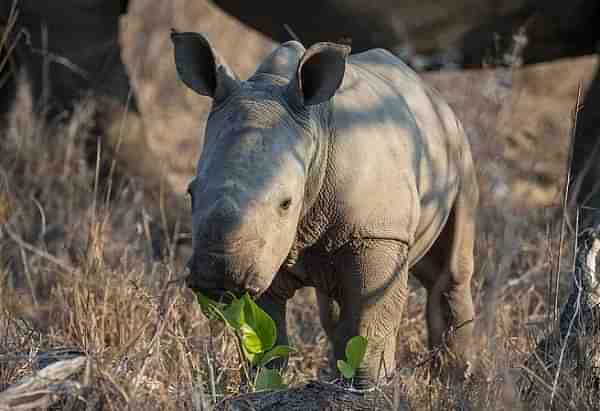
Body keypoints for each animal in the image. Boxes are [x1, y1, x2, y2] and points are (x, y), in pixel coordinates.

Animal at [172, 30, 478, 384]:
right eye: (191, 193)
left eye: (286, 203)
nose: (217, 276)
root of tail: (433, 93)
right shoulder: (265, 253)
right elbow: (266, 336)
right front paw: (265, 385)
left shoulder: (379, 232)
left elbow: (372, 321)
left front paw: (367, 387)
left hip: (458, 147)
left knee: (450, 273)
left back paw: (457, 378)